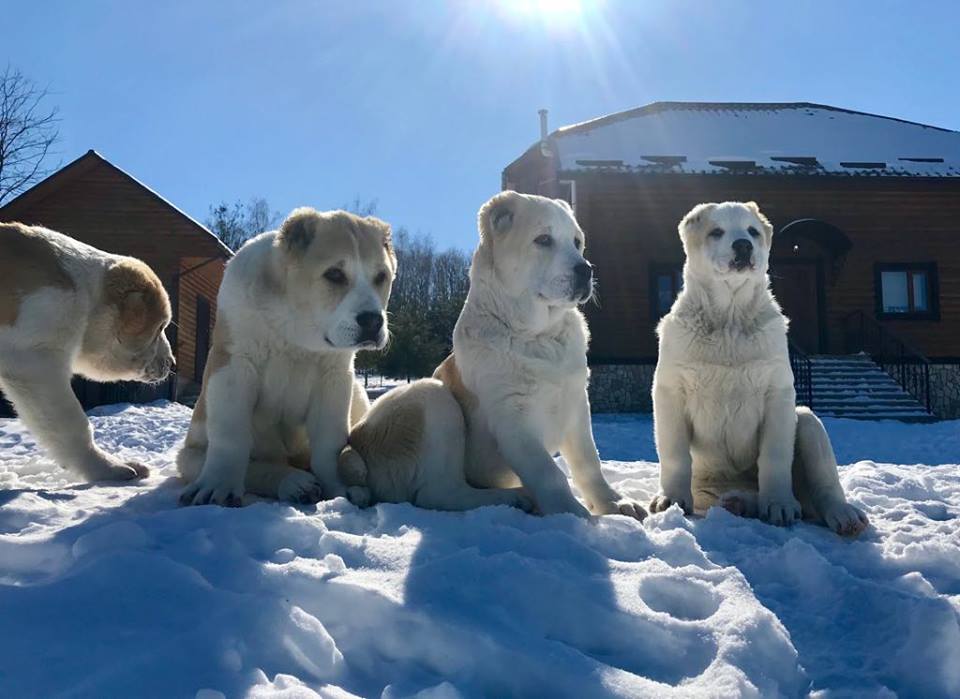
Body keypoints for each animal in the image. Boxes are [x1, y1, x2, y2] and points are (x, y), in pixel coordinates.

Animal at [0, 223, 174, 482]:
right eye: (160, 326)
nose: (172, 362)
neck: (85, 295)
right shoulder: (35, 363)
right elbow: (72, 424)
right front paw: (107, 467)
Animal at [176, 208, 394, 508]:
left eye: (381, 276)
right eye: (334, 274)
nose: (372, 321)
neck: (295, 326)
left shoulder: (335, 378)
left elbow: (329, 445)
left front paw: (338, 488)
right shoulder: (233, 366)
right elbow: (230, 436)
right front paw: (218, 485)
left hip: (358, 393)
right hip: (188, 454)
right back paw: (294, 483)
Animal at [338, 191, 644, 520]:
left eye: (576, 242)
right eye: (543, 239)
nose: (586, 270)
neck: (538, 337)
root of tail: (356, 447)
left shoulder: (576, 403)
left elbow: (589, 462)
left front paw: (614, 504)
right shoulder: (513, 420)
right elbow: (549, 474)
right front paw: (574, 516)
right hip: (430, 397)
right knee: (440, 492)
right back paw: (514, 498)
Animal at [652, 202, 872, 536]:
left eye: (753, 231)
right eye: (716, 232)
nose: (743, 245)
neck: (729, 320)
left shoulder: (777, 393)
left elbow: (775, 454)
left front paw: (779, 504)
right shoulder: (670, 390)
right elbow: (675, 454)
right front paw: (672, 501)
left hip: (807, 422)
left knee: (824, 485)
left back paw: (843, 515)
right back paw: (739, 502)